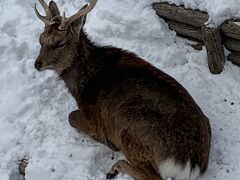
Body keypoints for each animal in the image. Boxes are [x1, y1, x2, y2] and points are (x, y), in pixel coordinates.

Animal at [34, 0, 212, 179]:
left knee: (150, 174)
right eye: (40, 39)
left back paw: (115, 167)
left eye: (60, 43)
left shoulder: (94, 119)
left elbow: (71, 117)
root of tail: (190, 162)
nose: (37, 64)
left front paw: (106, 142)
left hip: (127, 129)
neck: (81, 86)